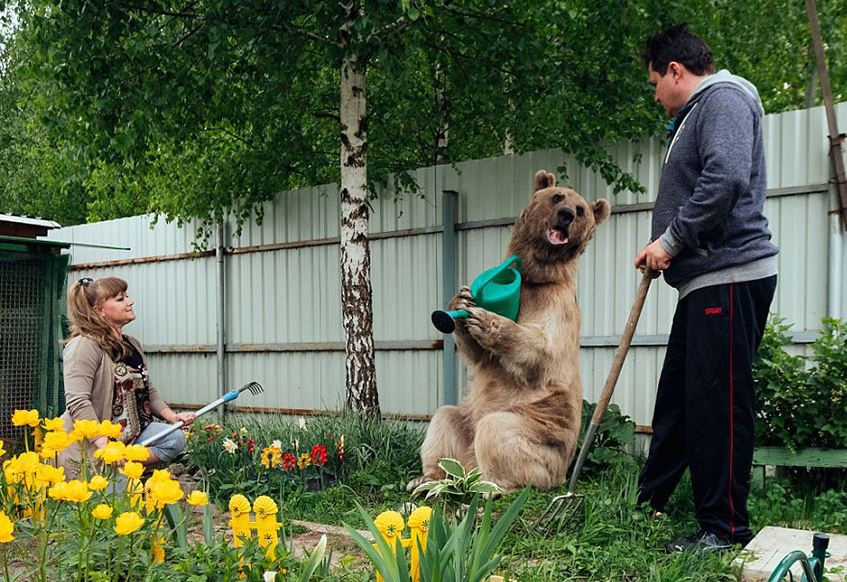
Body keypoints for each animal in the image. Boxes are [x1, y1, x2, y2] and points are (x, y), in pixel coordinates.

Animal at [410, 169, 608, 492]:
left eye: (581, 210)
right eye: (557, 197)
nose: (566, 215)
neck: (535, 276)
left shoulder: (556, 302)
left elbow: (543, 349)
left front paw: (488, 320)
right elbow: (478, 356)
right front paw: (461, 300)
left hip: (540, 436)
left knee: (498, 432)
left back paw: (491, 487)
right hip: (467, 421)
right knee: (444, 419)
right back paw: (427, 477)